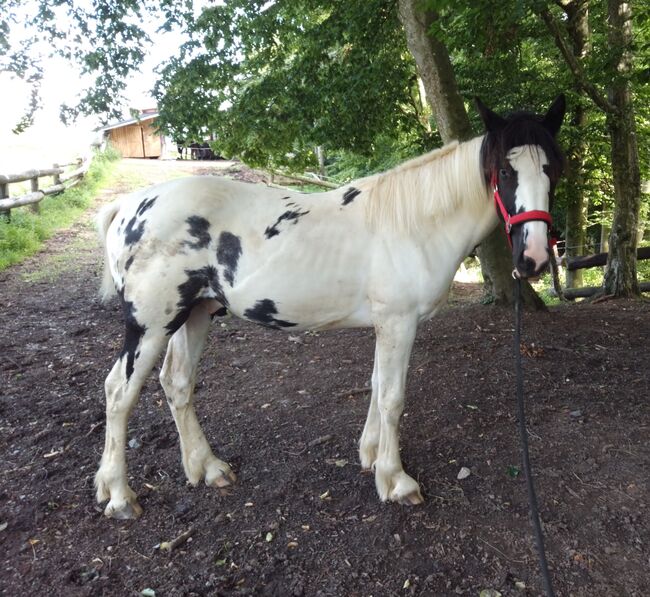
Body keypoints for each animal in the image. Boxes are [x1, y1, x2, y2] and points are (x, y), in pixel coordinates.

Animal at [95, 96, 560, 516]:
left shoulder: (386, 324)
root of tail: (128, 207)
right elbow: (393, 397)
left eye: (554, 169)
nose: (534, 258)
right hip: (152, 325)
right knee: (119, 392)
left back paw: (207, 468)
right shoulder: (398, 322)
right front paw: (396, 480)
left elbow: (376, 385)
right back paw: (119, 494)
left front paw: (371, 456)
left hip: (195, 314)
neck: (415, 224)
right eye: (505, 171)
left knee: (177, 383)